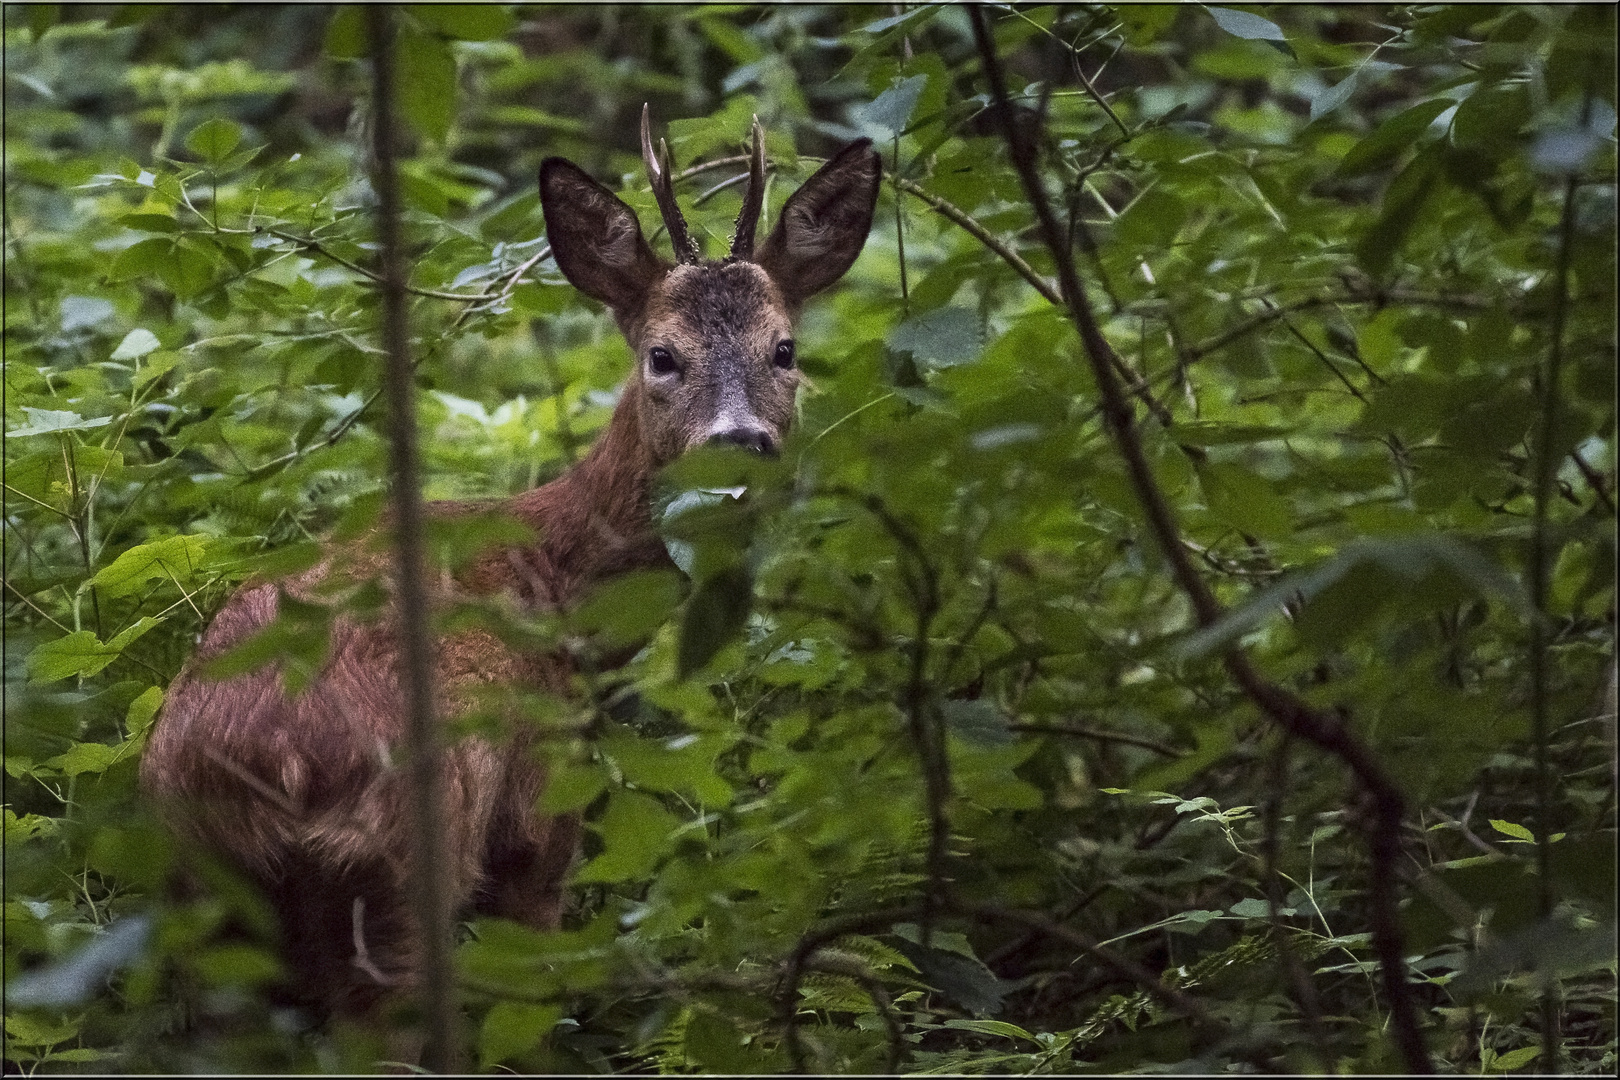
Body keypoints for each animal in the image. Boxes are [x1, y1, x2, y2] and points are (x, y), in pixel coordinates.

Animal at [144, 111, 881, 1029]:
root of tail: (270, 768)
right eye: (662, 356)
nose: (739, 443)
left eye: (784, 349)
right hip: (404, 867)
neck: (564, 591)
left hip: (201, 903)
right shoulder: (540, 814)